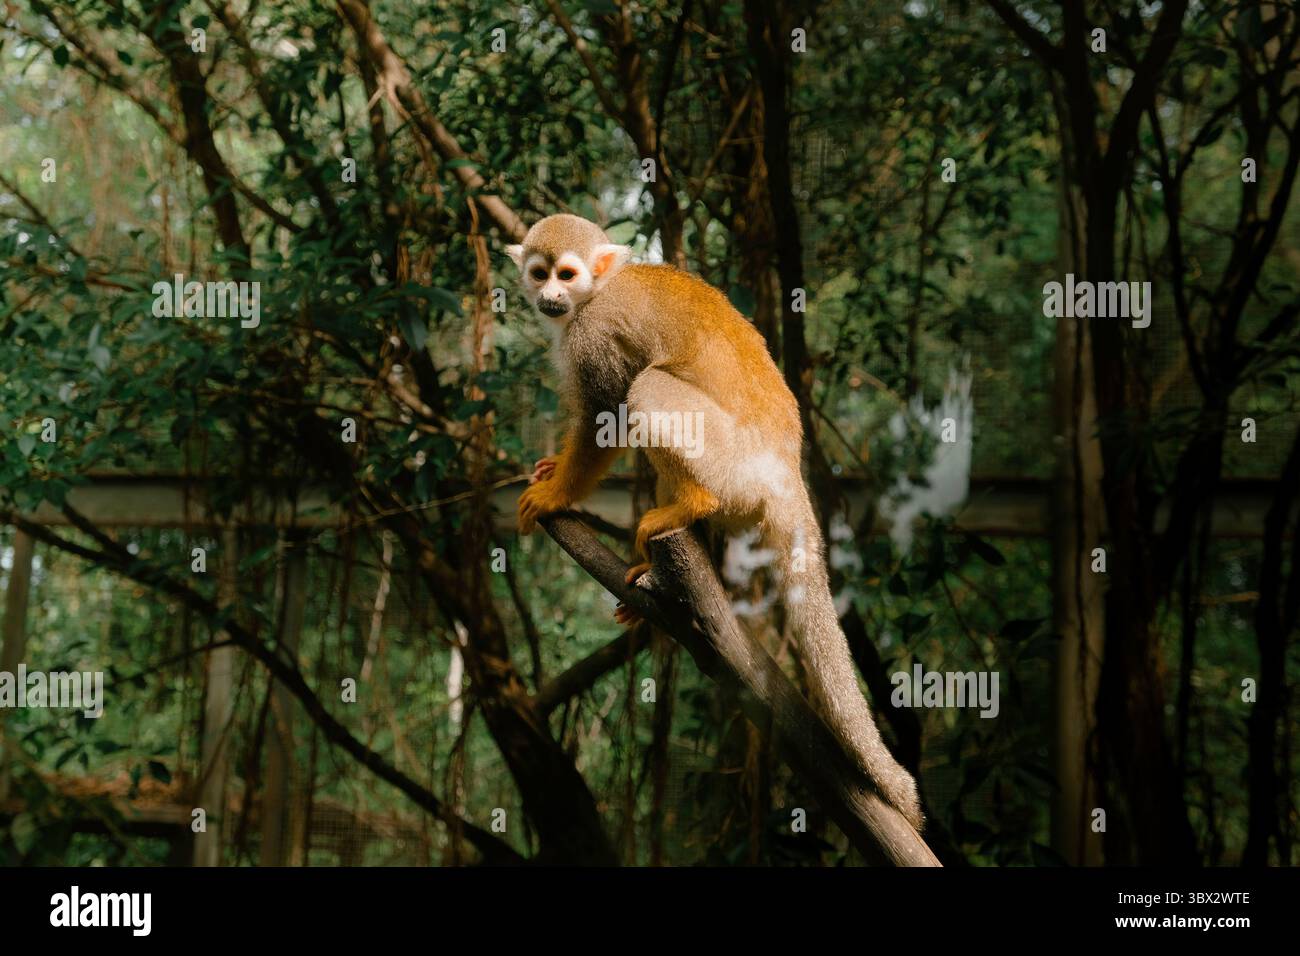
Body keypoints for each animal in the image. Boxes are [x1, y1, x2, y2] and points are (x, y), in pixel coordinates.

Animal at [507, 213, 923, 829]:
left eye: (568, 274)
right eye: (539, 274)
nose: (550, 298)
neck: (596, 295)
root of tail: (788, 472)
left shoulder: (593, 334)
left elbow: (608, 416)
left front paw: (555, 493)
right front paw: (551, 470)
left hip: (734, 461)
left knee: (649, 386)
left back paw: (694, 503)